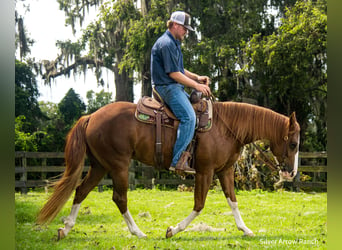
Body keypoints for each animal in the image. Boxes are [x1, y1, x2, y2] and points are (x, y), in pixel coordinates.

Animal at [36, 100, 300, 238]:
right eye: (294, 143)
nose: (291, 173)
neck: (226, 127)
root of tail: (91, 116)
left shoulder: (224, 172)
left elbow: (232, 201)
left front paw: (245, 229)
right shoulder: (205, 172)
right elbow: (199, 205)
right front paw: (173, 229)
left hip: (100, 166)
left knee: (81, 191)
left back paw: (66, 229)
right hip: (118, 165)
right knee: (119, 198)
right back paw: (138, 232)